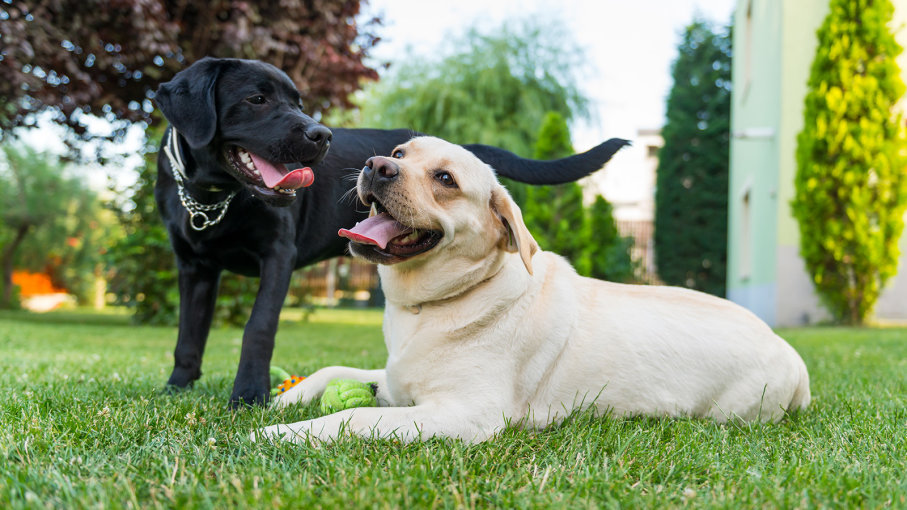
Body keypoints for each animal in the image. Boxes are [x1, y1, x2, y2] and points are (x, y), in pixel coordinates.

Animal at [153, 56, 628, 406]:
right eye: (256, 98)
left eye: (298, 101)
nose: (322, 134)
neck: (214, 196)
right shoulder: (193, 267)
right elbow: (188, 334)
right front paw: (176, 387)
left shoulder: (278, 256)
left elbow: (258, 327)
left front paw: (248, 394)